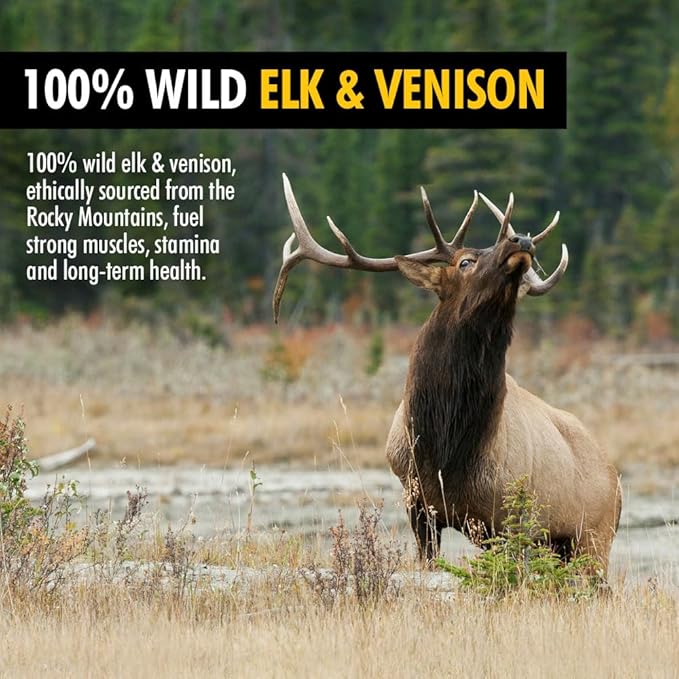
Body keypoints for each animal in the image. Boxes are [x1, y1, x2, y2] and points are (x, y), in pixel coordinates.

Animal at [273, 173, 622, 574]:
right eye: (465, 261)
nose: (521, 239)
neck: (444, 447)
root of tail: (617, 483)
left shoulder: (511, 517)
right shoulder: (418, 504)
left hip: (593, 536)